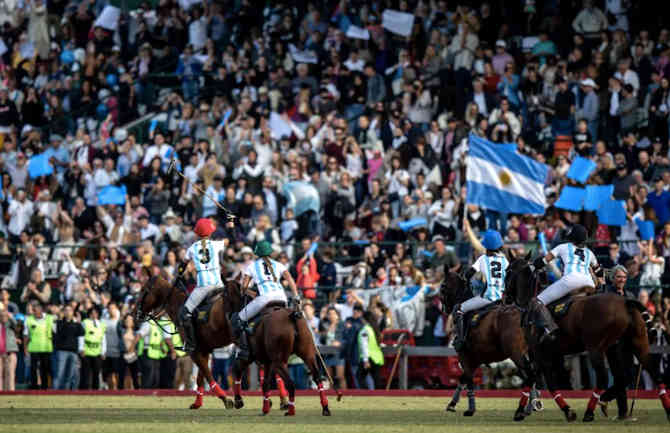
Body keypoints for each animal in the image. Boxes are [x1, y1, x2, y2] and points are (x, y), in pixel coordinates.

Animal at [444, 272, 544, 420]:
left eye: (442, 286)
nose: (445, 308)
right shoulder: (475, 359)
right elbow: (463, 379)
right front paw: (452, 404)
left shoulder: (465, 357)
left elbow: (468, 381)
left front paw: (469, 409)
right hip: (529, 354)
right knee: (533, 376)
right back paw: (531, 405)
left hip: (516, 354)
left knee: (530, 375)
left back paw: (524, 409)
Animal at [510, 258, 670, 420]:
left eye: (508, 270)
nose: (506, 297)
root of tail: (625, 302)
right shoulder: (550, 353)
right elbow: (545, 381)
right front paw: (566, 411)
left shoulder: (538, 352)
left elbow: (538, 379)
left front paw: (520, 411)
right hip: (638, 344)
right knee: (653, 375)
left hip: (595, 348)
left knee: (604, 378)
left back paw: (590, 411)